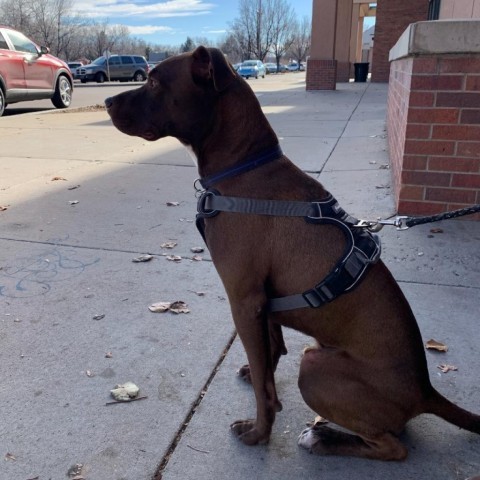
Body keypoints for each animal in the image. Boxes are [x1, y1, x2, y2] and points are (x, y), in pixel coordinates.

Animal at [106, 47, 480, 460]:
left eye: (155, 81)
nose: (106, 101)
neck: (245, 165)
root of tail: (425, 391)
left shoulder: (244, 300)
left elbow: (264, 385)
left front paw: (259, 432)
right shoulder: (263, 303)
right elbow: (269, 354)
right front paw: (259, 381)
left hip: (315, 366)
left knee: (393, 448)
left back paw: (325, 438)